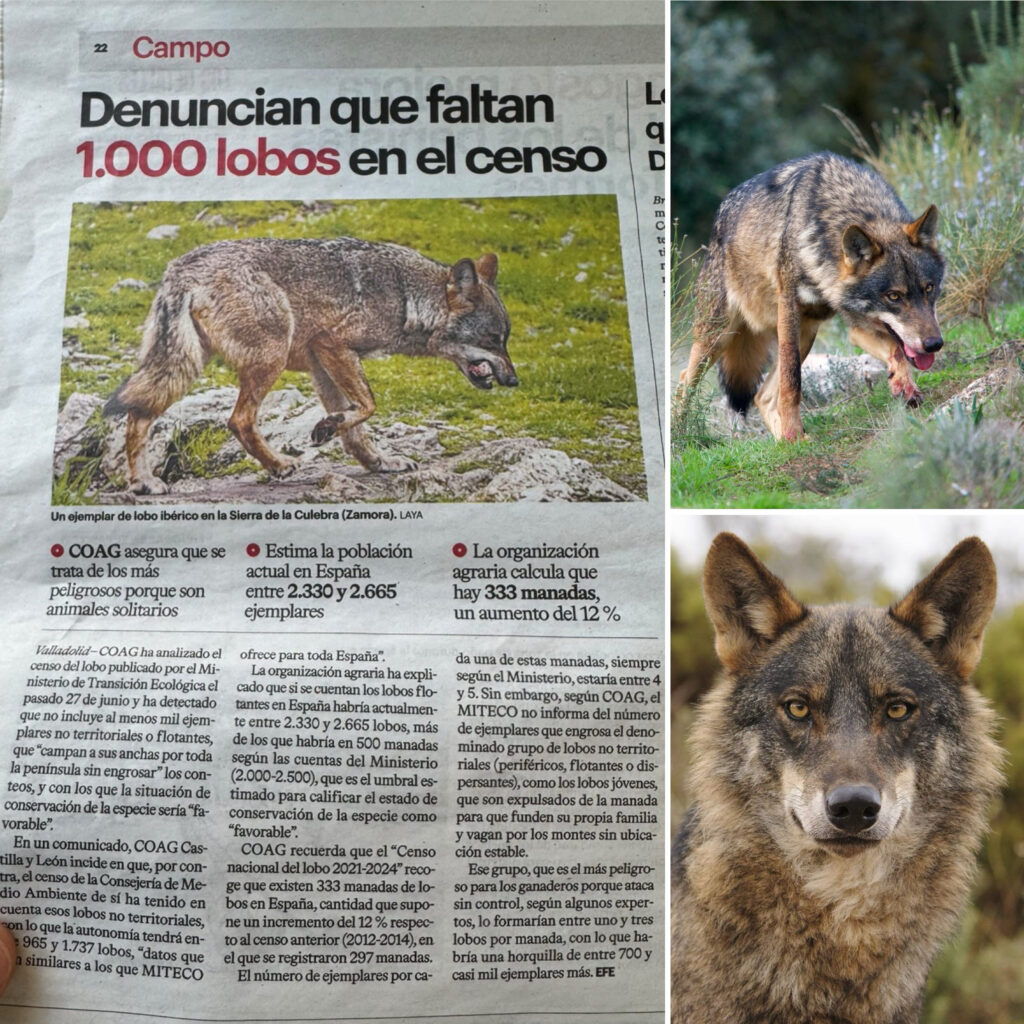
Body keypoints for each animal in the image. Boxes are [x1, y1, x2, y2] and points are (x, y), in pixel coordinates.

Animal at [103, 236, 517, 494]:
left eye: (505, 339)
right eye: (493, 339)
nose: (514, 381)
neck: (406, 296)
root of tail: (181, 269)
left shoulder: (323, 365)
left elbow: (357, 431)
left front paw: (378, 462)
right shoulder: (332, 346)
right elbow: (368, 406)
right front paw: (326, 428)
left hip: (183, 366)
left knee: (138, 416)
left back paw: (143, 484)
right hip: (267, 358)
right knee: (238, 420)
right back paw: (278, 466)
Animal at [679, 152, 945, 440]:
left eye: (929, 288)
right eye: (894, 296)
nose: (934, 344)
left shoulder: (857, 324)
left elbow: (896, 350)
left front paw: (904, 385)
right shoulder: (789, 309)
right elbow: (792, 383)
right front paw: (793, 432)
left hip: (806, 333)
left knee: (762, 396)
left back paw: (785, 442)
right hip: (718, 337)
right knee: (684, 380)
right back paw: (682, 437)